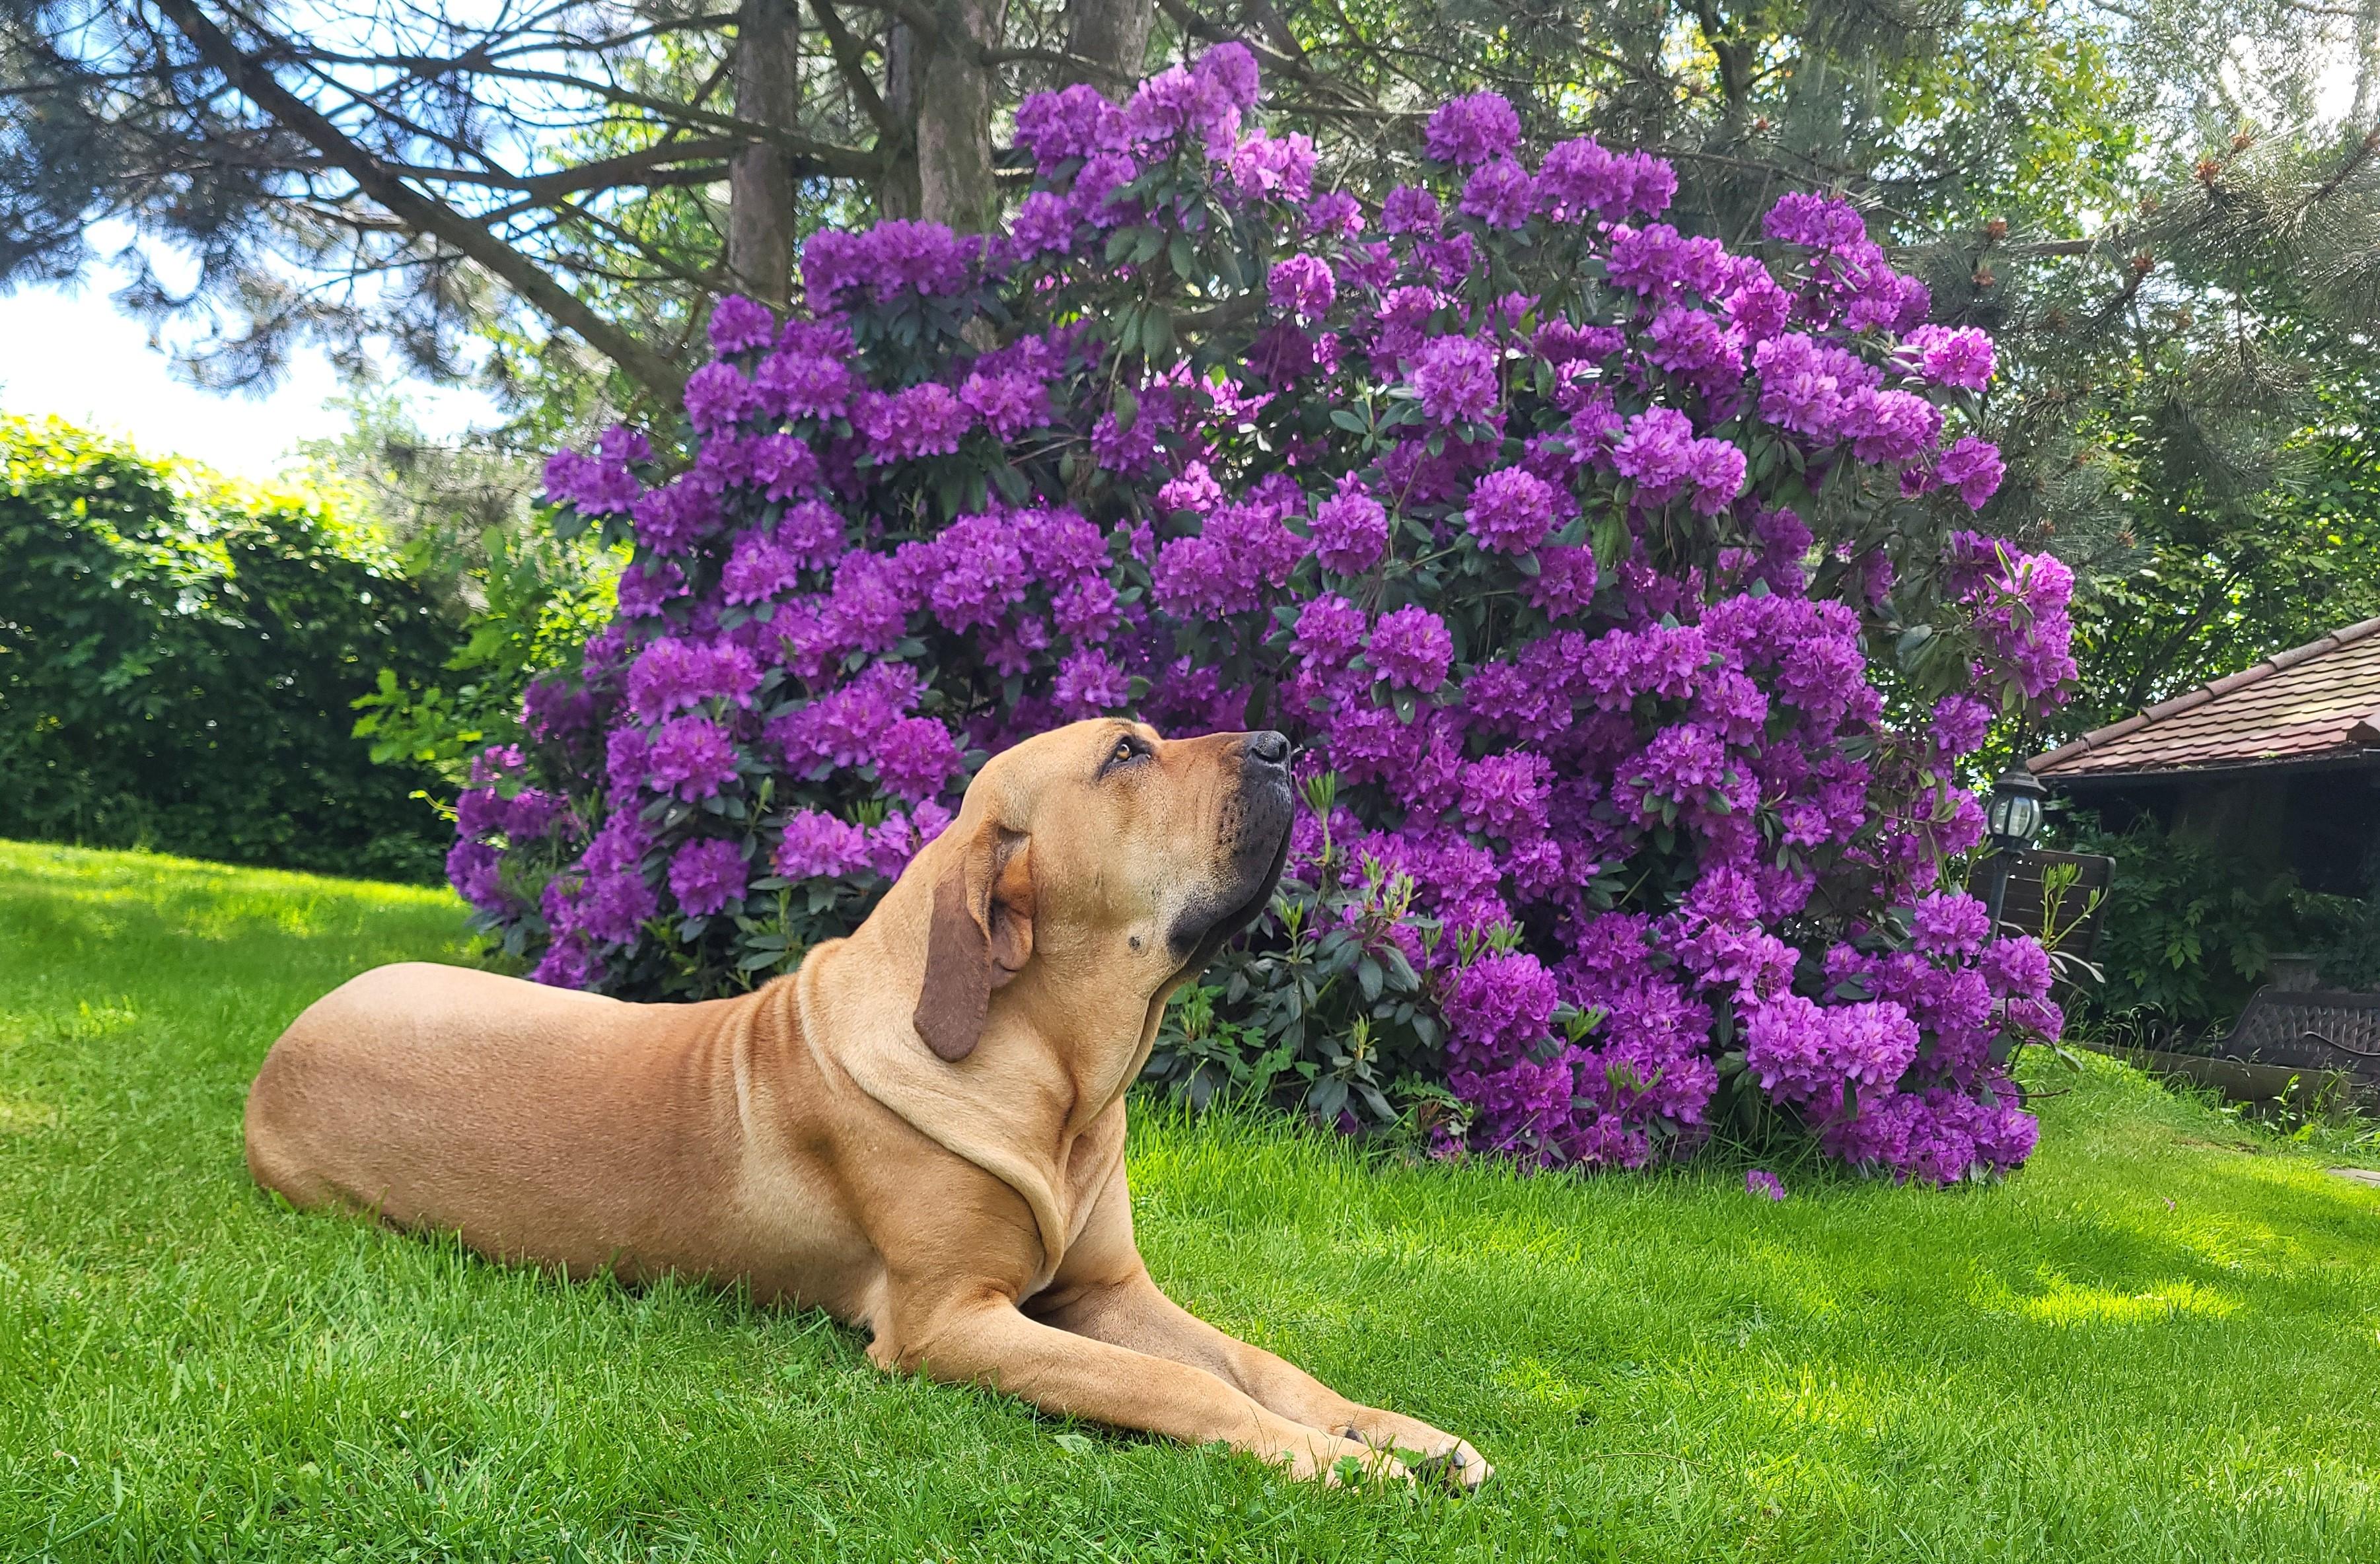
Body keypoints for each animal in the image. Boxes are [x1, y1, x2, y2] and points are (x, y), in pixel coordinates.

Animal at [256, 719, 1485, 1485]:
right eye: (1125, 753)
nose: (1284, 744)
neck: (1058, 1083)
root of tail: (283, 1043)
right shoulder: (955, 1322)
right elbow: (1178, 1387)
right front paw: (1336, 1463)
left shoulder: (1106, 1292)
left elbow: (1260, 1363)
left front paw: (1400, 1434)